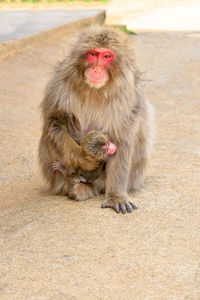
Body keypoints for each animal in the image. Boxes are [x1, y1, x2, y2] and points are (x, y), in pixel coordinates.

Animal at [39, 25, 155, 213]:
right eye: (93, 54)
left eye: (107, 56)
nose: (97, 70)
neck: (96, 89)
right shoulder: (60, 82)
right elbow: (56, 121)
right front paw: (84, 158)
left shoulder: (127, 93)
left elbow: (122, 136)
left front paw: (116, 196)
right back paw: (70, 179)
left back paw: (88, 188)